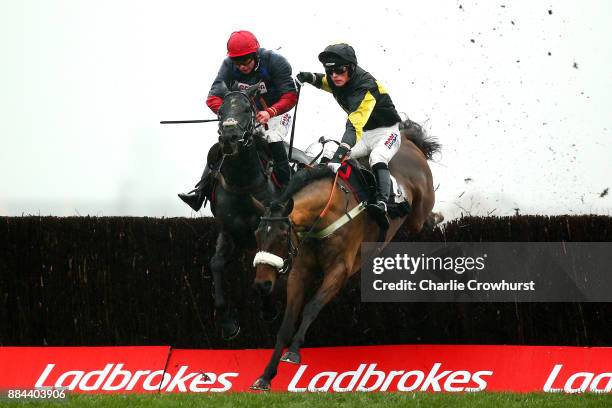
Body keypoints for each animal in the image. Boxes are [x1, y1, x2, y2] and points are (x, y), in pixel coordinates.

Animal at [249, 119, 440, 390]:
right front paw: (265, 376)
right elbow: (287, 321)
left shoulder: (340, 269)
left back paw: (436, 219)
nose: (262, 284)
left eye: (282, 235)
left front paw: (293, 352)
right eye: (257, 235)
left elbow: (312, 306)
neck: (326, 212)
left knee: (423, 218)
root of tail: (408, 139)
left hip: (416, 210)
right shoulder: (301, 269)